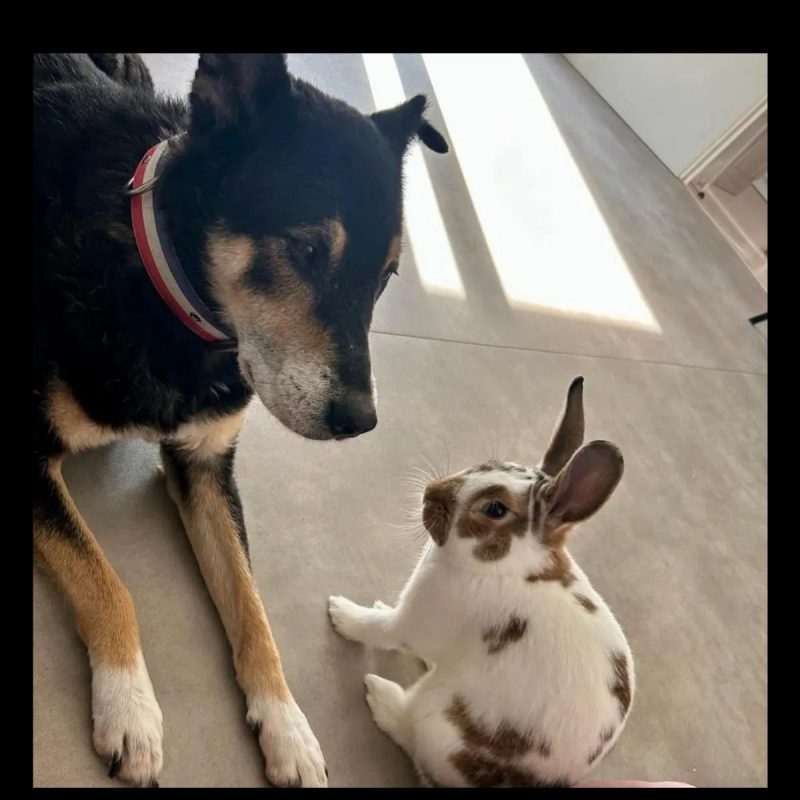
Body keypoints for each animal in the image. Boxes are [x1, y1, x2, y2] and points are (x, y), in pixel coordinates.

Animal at [328, 377, 634, 787]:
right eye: (487, 466)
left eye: (495, 509)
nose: (431, 492)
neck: (499, 568)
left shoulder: (411, 623)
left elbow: (376, 628)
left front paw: (340, 612)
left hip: (436, 722)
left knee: (410, 736)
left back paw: (381, 696)